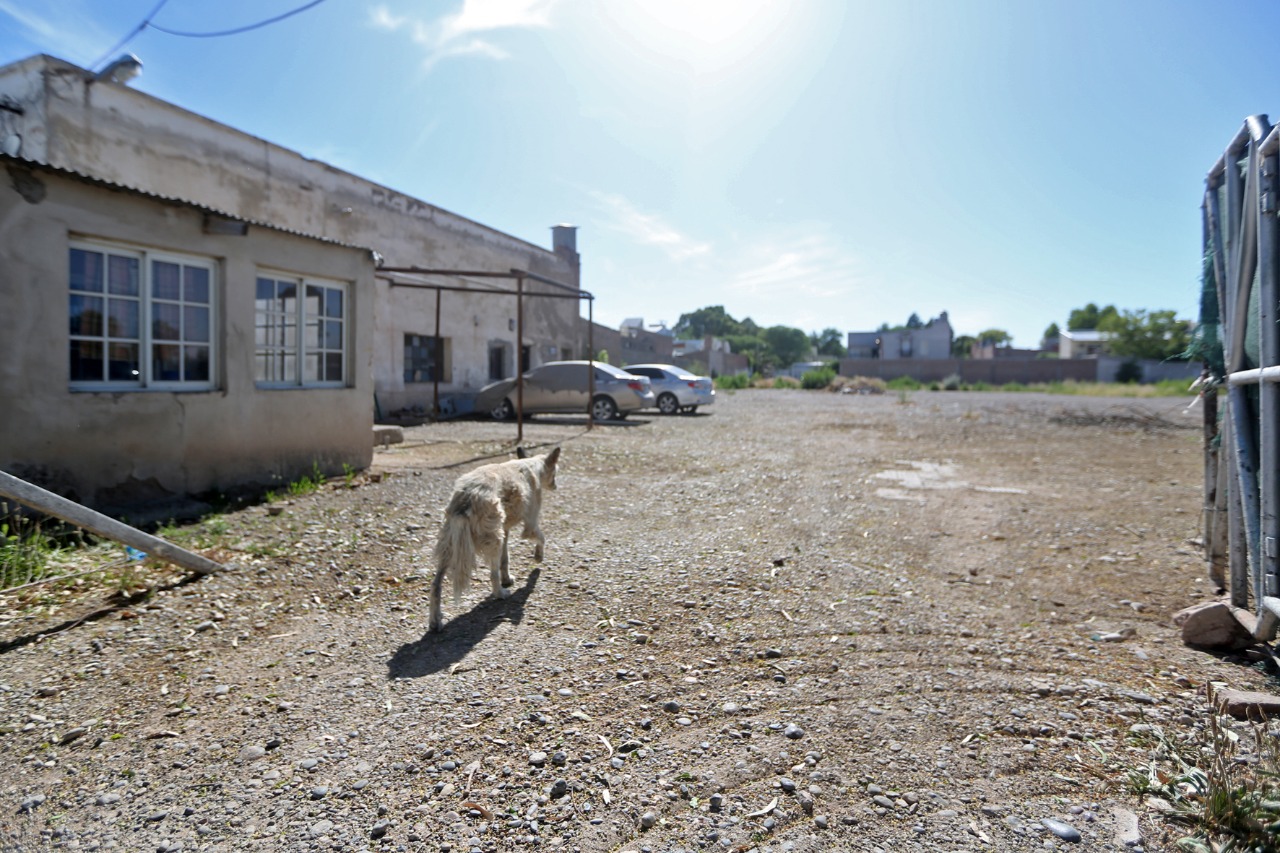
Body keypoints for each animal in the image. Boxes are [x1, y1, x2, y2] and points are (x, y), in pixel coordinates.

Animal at [427, 445, 558, 630]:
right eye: (555, 471)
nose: (556, 486)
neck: (531, 465)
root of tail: (466, 498)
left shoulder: (506, 531)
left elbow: (506, 559)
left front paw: (507, 578)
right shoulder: (530, 525)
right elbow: (542, 538)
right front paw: (538, 557)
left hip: (451, 546)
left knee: (435, 585)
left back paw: (435, 621)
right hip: (493, 540)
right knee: (492, 575)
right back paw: (501, 594)